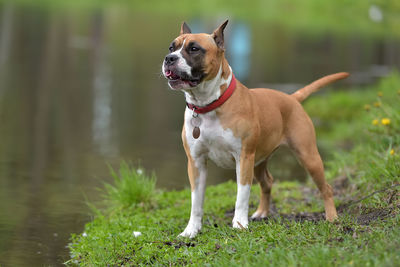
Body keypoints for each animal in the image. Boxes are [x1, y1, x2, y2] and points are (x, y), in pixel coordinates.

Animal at [161, 21, 348, 239]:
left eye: (194, 49)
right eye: (171, 48)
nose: (169, 58)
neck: (208, 105)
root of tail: (291, 98)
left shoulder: (244, 158)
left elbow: (242, 195)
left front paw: (239, 224)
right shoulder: (196, 162)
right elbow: (196, 201)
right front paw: (191, 229)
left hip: (308, 157)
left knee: (326, 188)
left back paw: (332, 217)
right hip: (260, 161)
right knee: (268, 182)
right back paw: (262, 212)